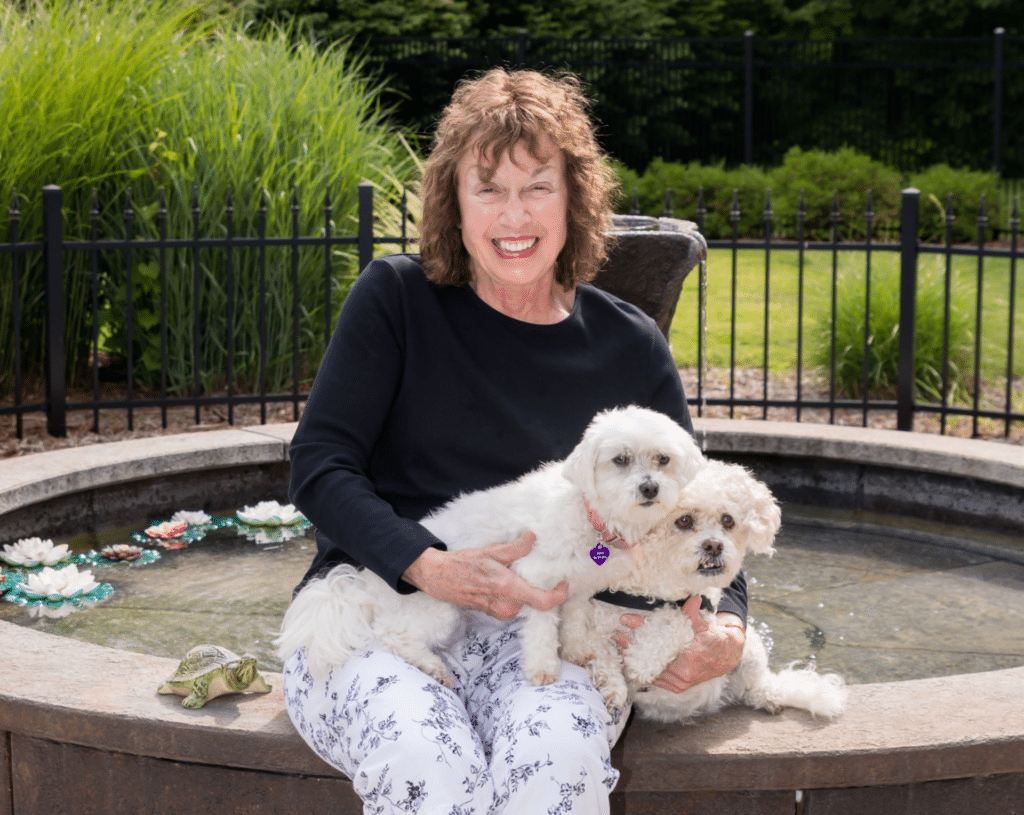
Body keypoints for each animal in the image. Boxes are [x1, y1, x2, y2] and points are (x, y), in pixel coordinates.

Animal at [274, 405, 704, 688]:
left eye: (663, 459)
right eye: (620, 459)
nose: (649, 488)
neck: (592, 516)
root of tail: (363, 586)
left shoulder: (579, 588)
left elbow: (575, 622)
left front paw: (577, 650)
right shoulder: (537, 582)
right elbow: (542, 632)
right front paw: (544, 668)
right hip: (438, 606)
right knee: (392, 634)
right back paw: (430, 666)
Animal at [561, 460, 847, 720]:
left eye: (727, 520)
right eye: (684, 520)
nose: (714, 546)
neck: (654, 589)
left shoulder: (702, 611)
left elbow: (674, 618)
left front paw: (642, 661)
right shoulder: (594, 625)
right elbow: (602, 654)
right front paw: (613, 686)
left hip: (748, 648)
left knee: (756, 683)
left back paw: (767, 697)